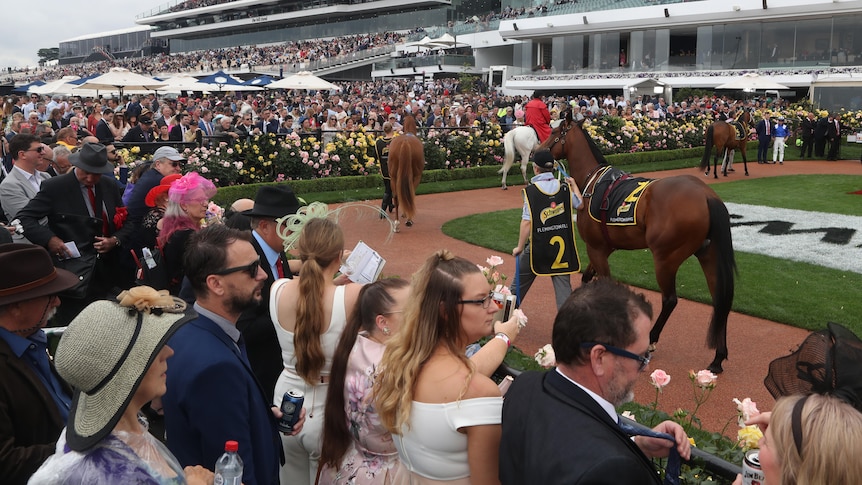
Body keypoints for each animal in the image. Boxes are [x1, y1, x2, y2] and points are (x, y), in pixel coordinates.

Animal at [548, 111, 736, 372]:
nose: (536, 152)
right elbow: (587, 278)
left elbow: (603, 284)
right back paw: (718, 357)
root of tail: (707, 195)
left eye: (553, 133)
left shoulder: (595, 248)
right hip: (709, 254)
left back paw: (651, 342)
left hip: (666, 258)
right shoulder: (603, 248)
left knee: (670, 300)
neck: (590, 181)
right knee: (721, 300)